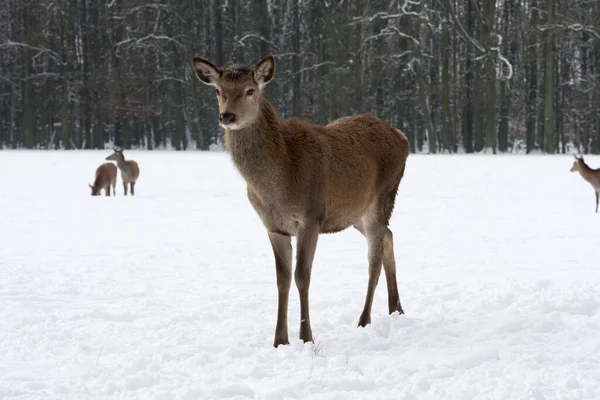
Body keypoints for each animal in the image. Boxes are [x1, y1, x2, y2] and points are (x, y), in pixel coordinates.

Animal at [191, 54, 408, 348]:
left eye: (250, 90)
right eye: (218, 90)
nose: (227, 116)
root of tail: (402, 137)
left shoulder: (311, 217)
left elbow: (302, 276)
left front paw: (306, 337)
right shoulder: (274, 226)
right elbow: (281, 279)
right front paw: (280, 340)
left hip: (384, 195)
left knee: (374, 255)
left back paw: (365, 319)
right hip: (354, 213)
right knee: (389, 236)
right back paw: (396, 308)